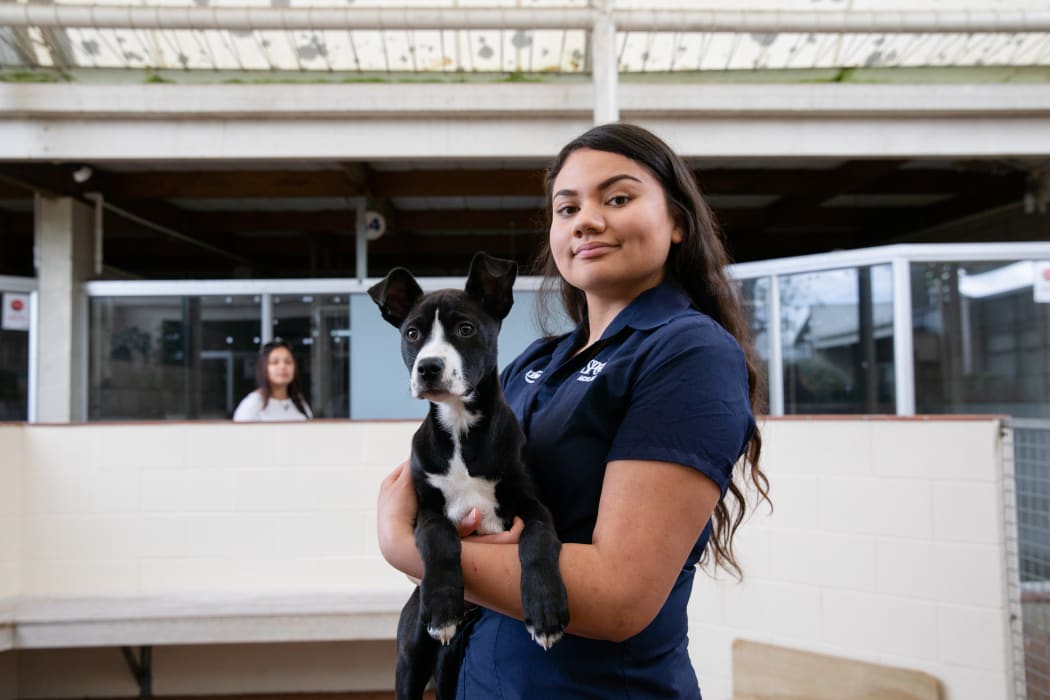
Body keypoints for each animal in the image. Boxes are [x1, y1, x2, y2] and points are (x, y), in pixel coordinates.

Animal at [367, 251, 567, 700]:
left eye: (465, 329)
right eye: (412, 333)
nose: (428, 367)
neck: (459, 429)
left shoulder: (533, 504)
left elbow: (538, 541)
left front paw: (545, 609)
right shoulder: (425, 508)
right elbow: (440, 539)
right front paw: (443, 608)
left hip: (449, 666)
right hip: (412, 655)